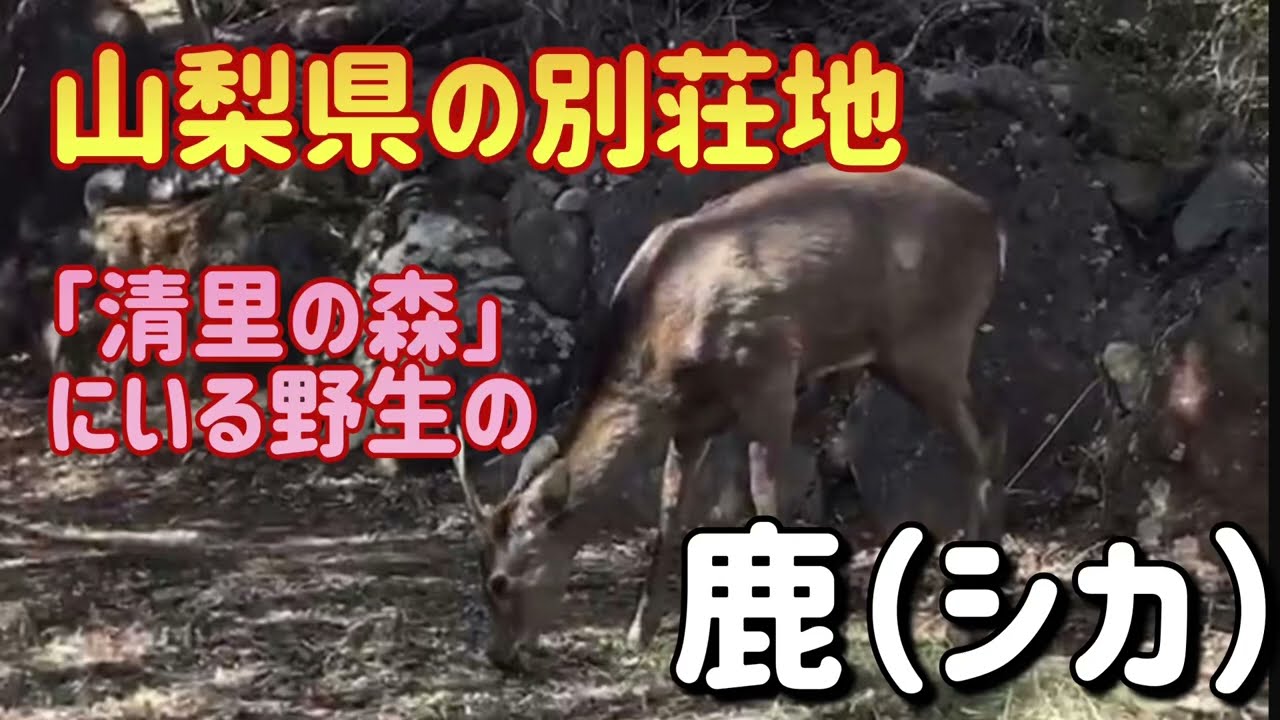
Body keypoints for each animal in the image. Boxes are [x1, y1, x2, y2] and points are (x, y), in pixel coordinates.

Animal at [452, 161, 1010, 670]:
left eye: (500, 582)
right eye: (477, 572)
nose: (498, 655)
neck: (665, 348)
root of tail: (993, 226)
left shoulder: (769, 368)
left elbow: (764, 496)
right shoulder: (691, 419)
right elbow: (673, 513)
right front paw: (639, 632)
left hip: (929, 341)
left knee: (983, 440)